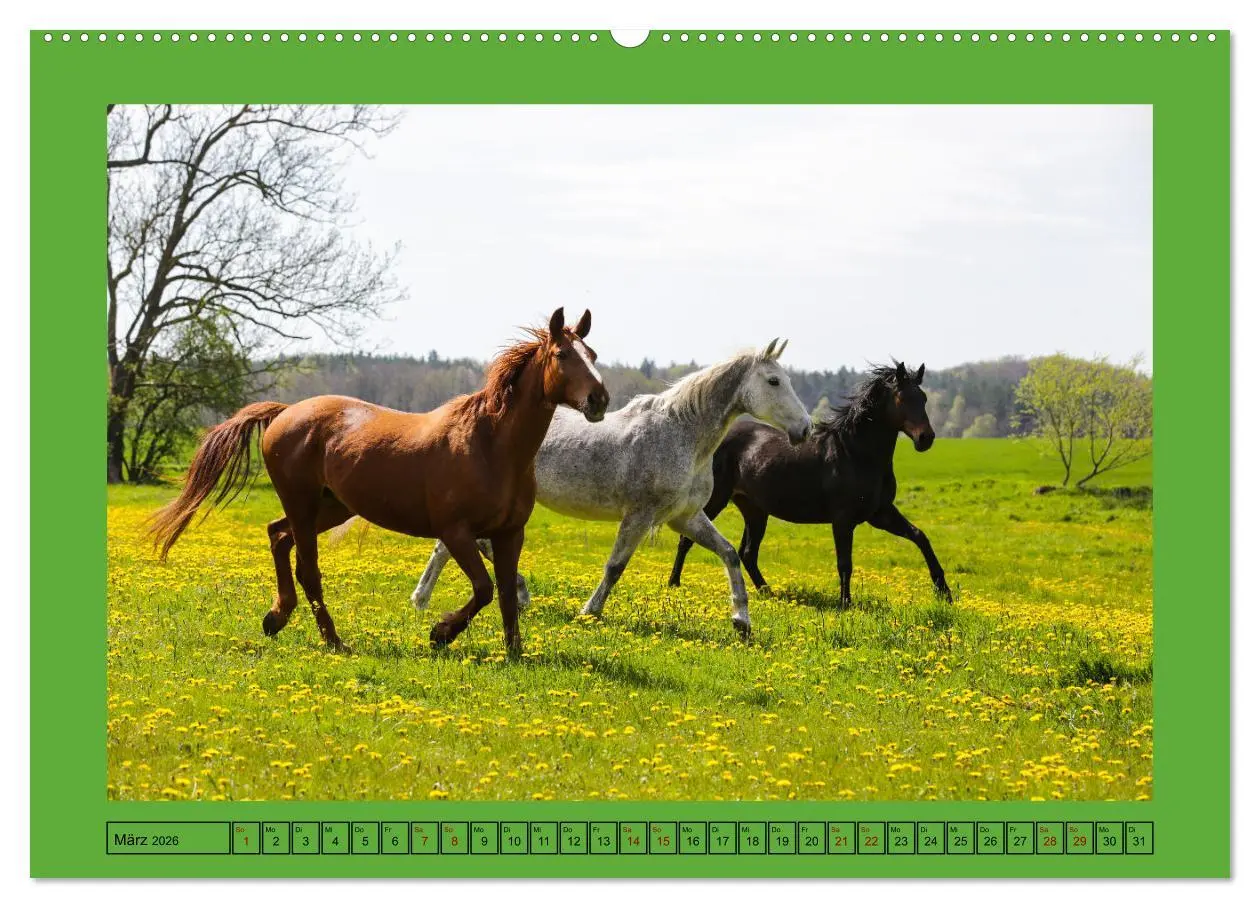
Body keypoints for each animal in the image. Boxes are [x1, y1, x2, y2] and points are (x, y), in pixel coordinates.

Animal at [148, 308, 609, 655]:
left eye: (593, 353)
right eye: (562, 354)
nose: (599, 400)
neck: (490, 445)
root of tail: (285, 412)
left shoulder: (510, 533)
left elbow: (508, 596)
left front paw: (515, 654)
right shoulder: (456, 532)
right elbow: (484, 589)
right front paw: (440, 634)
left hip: (330, 507)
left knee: (278, 535)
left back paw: (276, 618)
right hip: (303, 504)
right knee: (307, 568)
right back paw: (335, 643)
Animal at [409, 339, 813, 639]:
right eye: (773, 381)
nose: (805, 429)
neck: (681, 435)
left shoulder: (684, 517)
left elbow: (728, 553)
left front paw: (741, 621)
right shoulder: (639, 515)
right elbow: (615, 566)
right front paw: (590, 612)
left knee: (456, 545)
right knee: (459, 543)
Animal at [668, 362, 952, 608]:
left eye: (923, 398)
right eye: (903, 398)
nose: (926, 438)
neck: (855, 453)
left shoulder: (880, 513)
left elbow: (920, 536)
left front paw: (944, 592)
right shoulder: (843, 519)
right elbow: (844, 562)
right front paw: (845, 604)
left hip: (755, 510)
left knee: (748, 552)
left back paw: (768, 592)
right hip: (716, 499)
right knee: (687, 539)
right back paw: (674, 584)